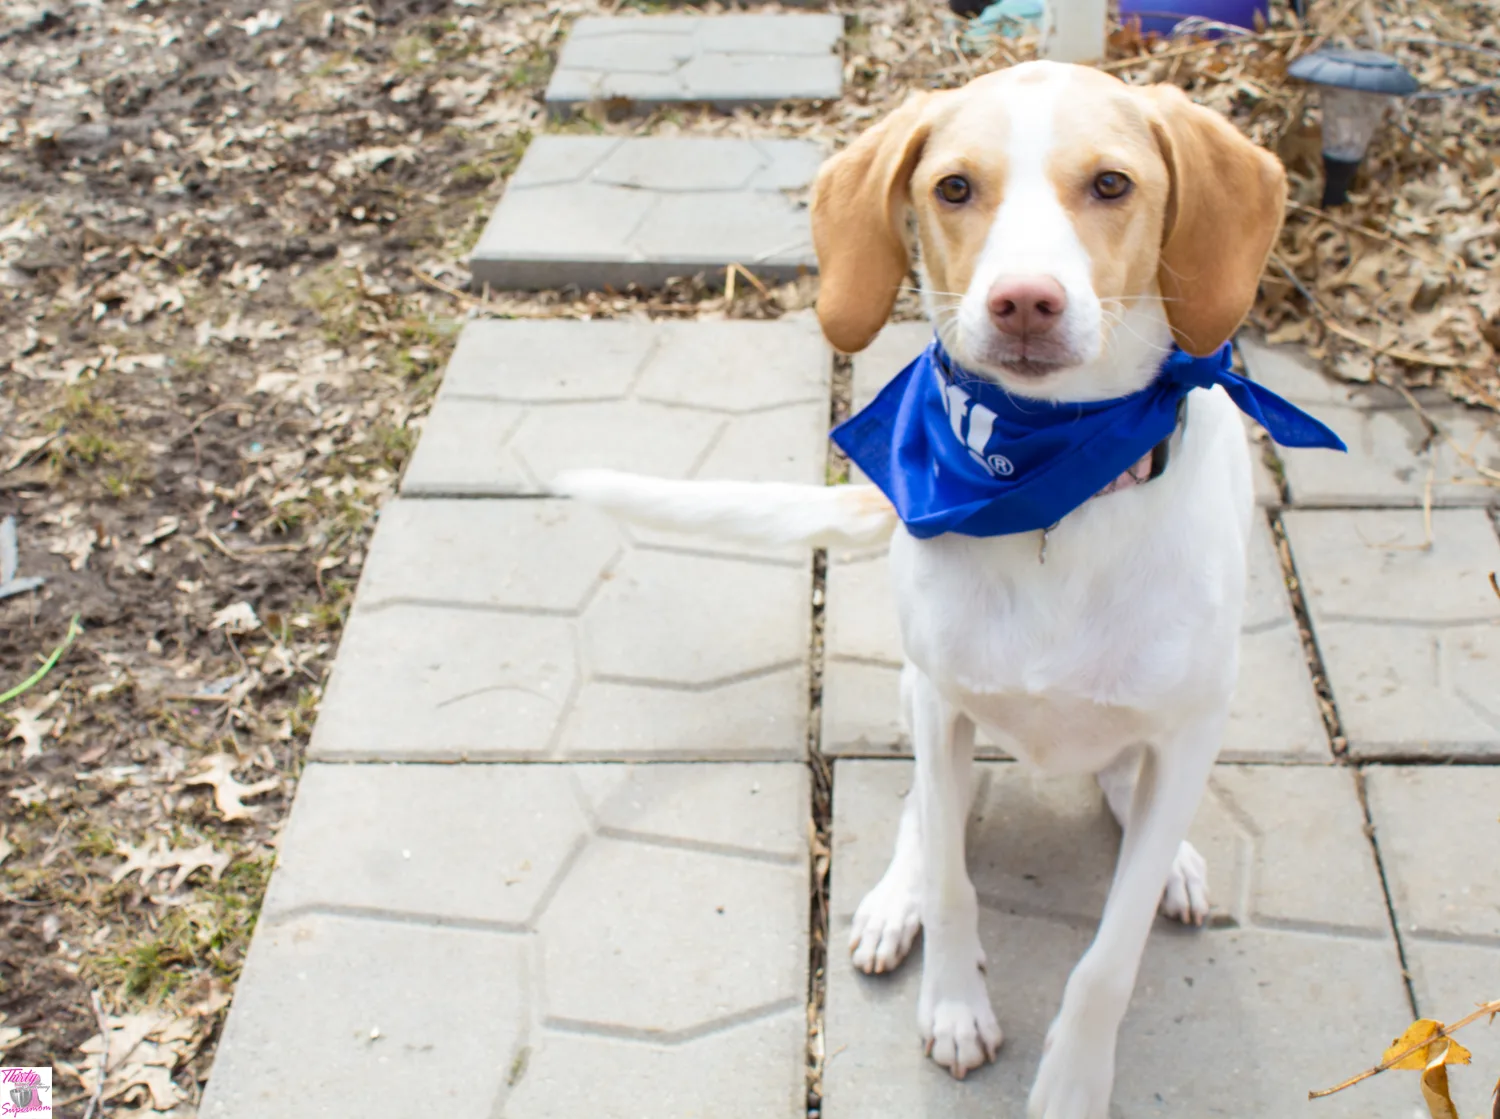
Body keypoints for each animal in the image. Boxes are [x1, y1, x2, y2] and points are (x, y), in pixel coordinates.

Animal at [558, 61, 1284, 1116]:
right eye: (954, 187)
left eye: (1112, 184)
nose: (1024, 302)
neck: (1051, 485)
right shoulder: (943, 705)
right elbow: (949, 877)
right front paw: (952, 1003)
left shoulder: (1193, 728)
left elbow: (1108, 956)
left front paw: (1073, 1079)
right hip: (921, 694)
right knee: (922, 816)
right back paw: (895, 900)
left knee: (1130, 788)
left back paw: (1169, 853)